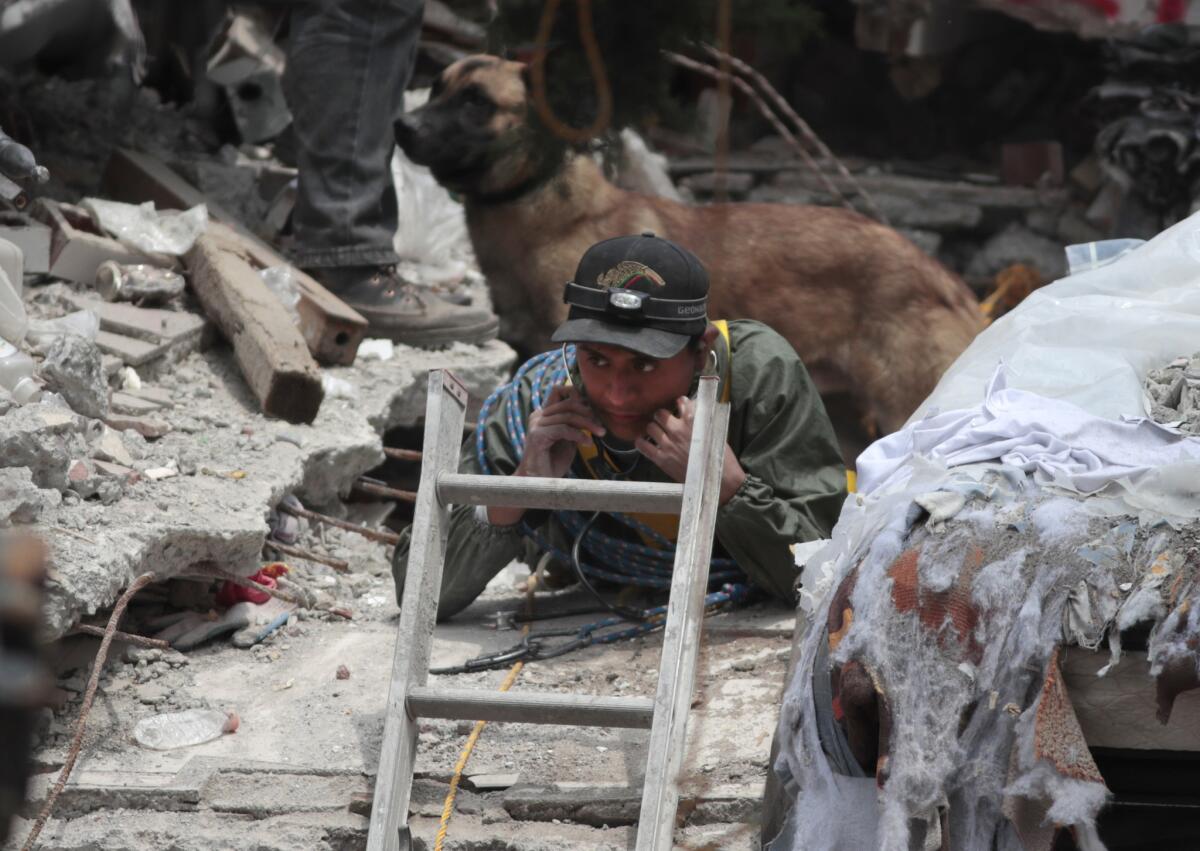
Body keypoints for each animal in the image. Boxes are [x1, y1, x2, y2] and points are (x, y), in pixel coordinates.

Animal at [396, 56, 984, 434]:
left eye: (476, 102)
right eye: (435, 89)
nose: (402, 125)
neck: (544, 211)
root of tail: (948, 280)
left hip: (903, 407)